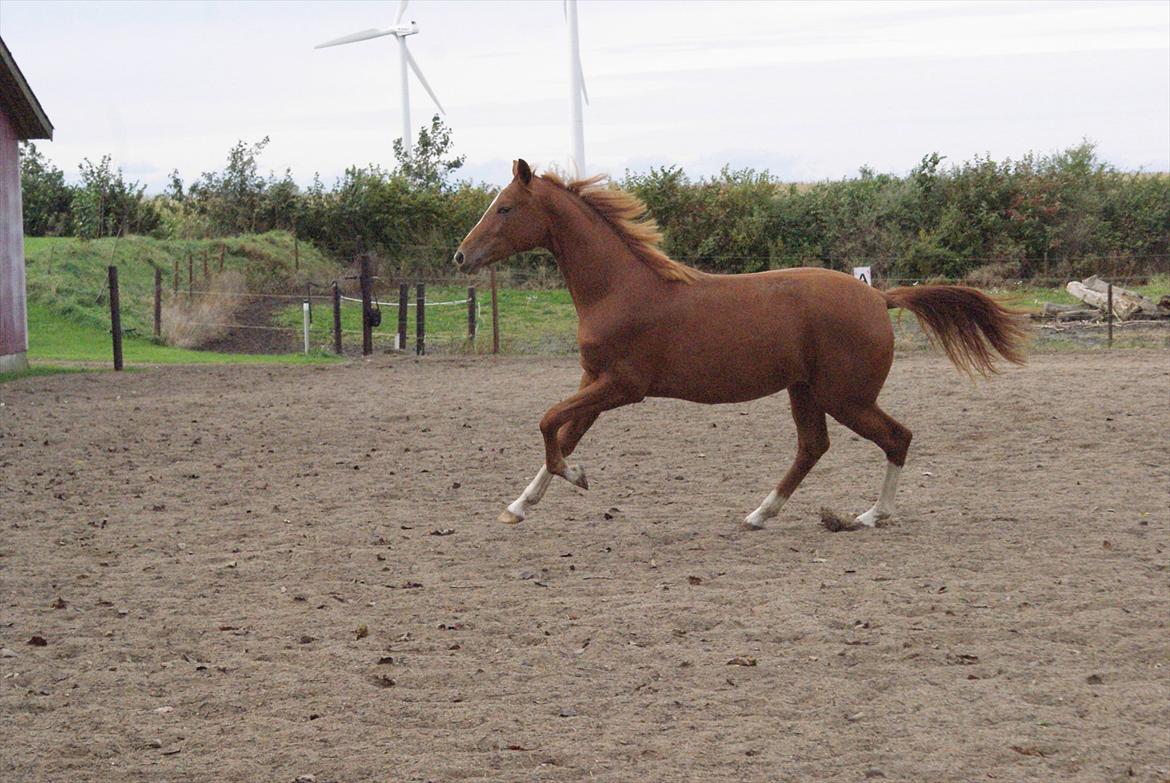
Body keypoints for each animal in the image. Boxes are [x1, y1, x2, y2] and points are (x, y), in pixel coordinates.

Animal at [451, 158, 1020, 524]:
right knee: (813, 446)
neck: (618, 287)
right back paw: (760, 513)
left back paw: (872, 515)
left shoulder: (623, 386)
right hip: (806, 391)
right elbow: (562, 434)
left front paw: (577, 477)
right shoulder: (594, 379)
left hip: (846, 396)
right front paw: (520, 505)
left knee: (896, 437)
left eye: (505, 208)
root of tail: (879, 297)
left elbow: (548, 423)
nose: (461, 256)